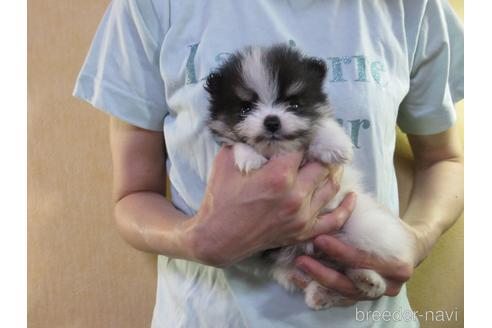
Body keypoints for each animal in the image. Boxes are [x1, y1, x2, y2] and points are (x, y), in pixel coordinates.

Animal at [203, 45, 412, 310]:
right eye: (245, 109)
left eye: (293, 105)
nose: (272, 121)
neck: (280, 151)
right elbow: (236, 145)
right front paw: (249, 158)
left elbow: (322, 125)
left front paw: (334, 145)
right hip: (286, 264)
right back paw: (321, 293)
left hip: (363, 228)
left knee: (356, 260)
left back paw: (369, 279)